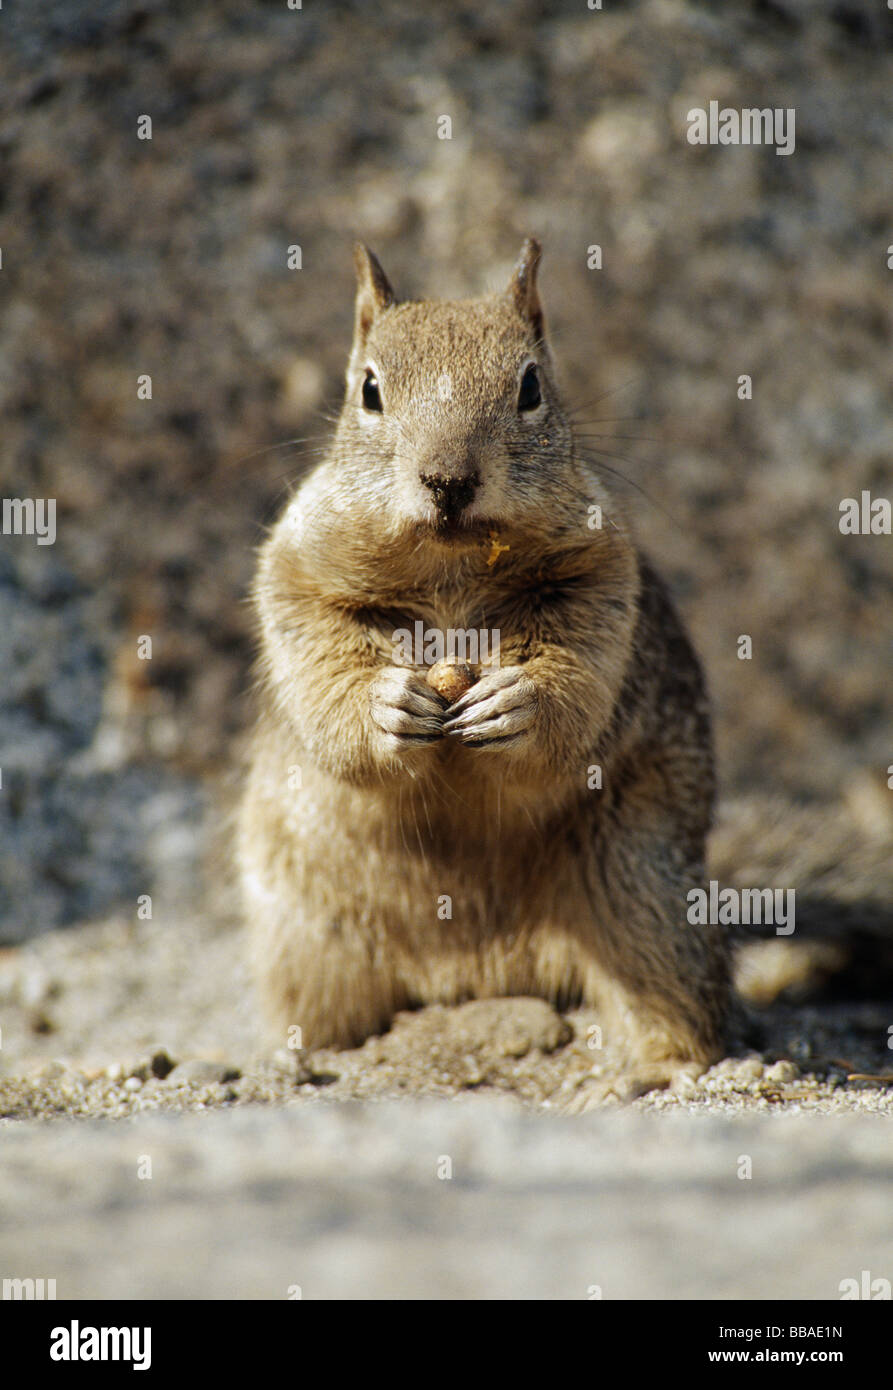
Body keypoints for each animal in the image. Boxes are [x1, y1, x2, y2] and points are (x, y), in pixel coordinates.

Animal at [236, 241, 728, 1106]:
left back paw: (650, 1071)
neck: (451, 561)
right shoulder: (297, 577)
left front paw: (515, 701)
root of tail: (469, 976)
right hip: (304, 941)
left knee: (683, 1002)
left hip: (642, 893)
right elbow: (323, 666)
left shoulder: (599, 581)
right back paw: (293, 1063)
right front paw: (387, 707)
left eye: (530, 386)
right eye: (369, 390)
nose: (448, 481)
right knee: (325, 1017)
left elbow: (576, 676)